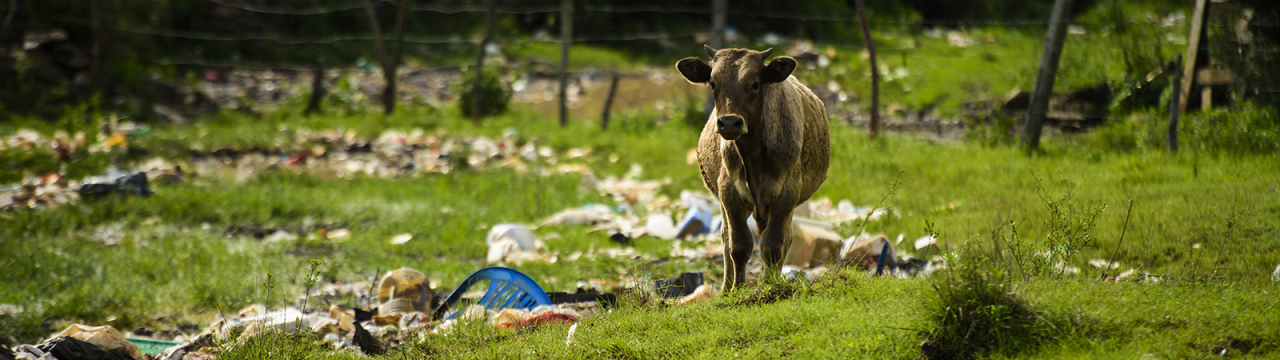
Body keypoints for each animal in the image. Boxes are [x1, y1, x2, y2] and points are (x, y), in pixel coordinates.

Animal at [680, 46, 829, 289]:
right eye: (713, 83)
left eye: (755, 83)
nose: (729, 123)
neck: (752, 154)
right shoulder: (728, 191)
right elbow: (739, 245)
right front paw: (737, 290)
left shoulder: (787, 193)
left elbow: (773, 246)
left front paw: (771, 287)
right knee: (725, 237)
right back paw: (725, 288)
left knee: (784, 238)